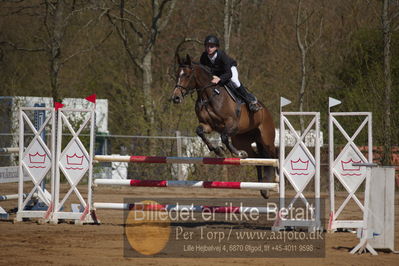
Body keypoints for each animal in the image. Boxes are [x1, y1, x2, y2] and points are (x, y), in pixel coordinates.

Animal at [172, 55, 278, 198]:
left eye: (188, 75)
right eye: (177, 74)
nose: (176, 97)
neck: (208, 95)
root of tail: (265, 110)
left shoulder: (231, 124)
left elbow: (224, 137)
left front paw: (236, 153)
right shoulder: (208, 125)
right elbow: (200, 131)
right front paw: (218, 150)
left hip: (266, 138)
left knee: (273, 157)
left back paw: (276, 180)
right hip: (242, 140)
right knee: (257, 159)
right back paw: (264, 190)